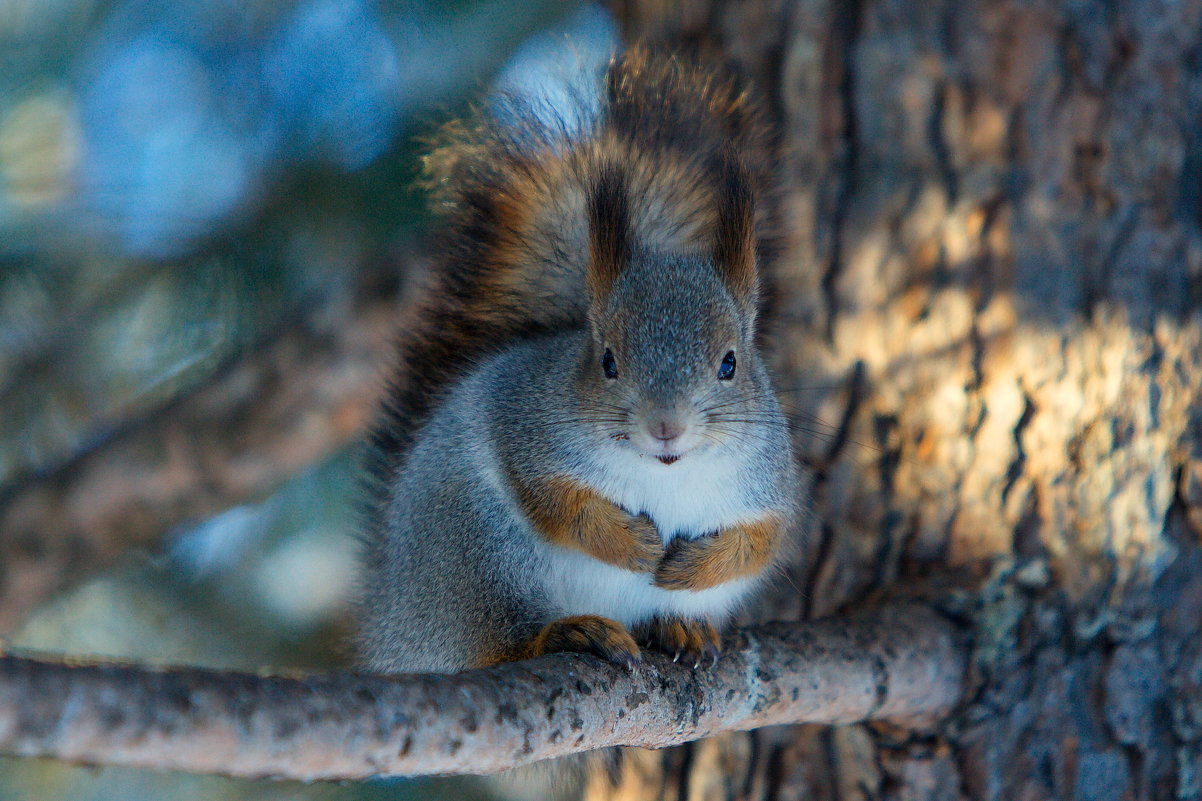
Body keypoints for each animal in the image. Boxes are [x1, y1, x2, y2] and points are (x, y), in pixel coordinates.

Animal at [355, 46, 802, 668]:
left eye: (730, 363)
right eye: (608, 360)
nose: (666, 428)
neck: (665, 474)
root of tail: (393, 631)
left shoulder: (768, 483)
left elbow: (760, 541)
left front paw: (696, 568)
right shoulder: (523, 421)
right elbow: (554, 498)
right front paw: (627, 542)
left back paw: (679, 628)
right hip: (474, 554)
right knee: (498, 640)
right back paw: (568, 632)